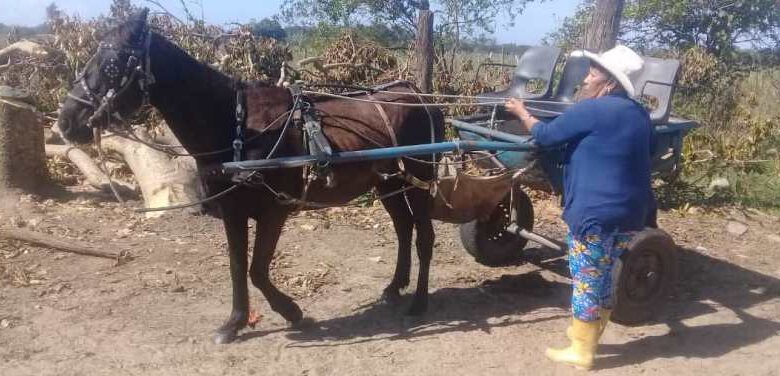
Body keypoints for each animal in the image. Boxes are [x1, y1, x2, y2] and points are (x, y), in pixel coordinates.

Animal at [57, 10, 444, 344]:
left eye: (112, 63)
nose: (66, 122)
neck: (237, 125)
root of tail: (420, 96)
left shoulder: (275, 210)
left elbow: (257, 269)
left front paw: (292, 312)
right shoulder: (232, 211)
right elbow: (237, 266)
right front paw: (235, 322)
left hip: (419, 177)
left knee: (424, 235)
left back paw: (419, 302)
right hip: (389, 183)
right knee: (403, 228)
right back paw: (395, 286)